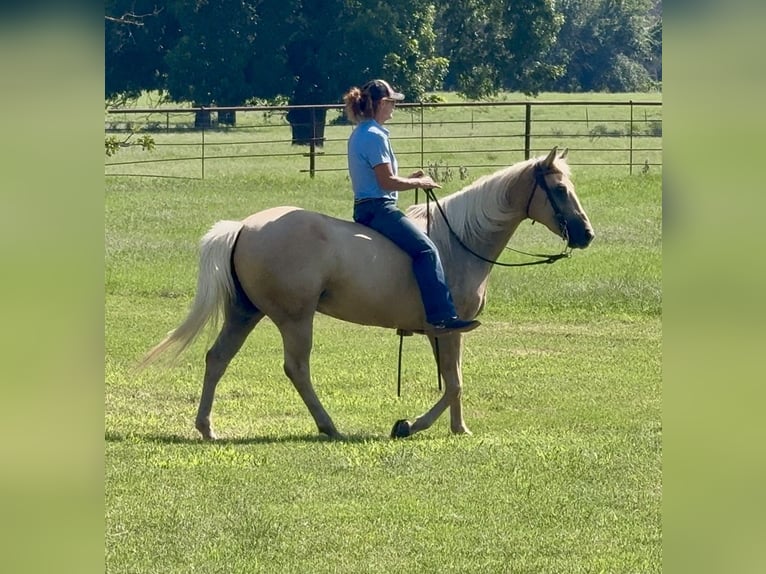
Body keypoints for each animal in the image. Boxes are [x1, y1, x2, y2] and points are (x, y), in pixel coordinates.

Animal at [140, 147, 594, 440]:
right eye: (558, 189)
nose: (586, 234)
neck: (458, 241)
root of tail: (243, 227)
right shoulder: (448, 329)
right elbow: (454, 384)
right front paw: (410, 425)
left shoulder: (446, 333)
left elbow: (453, 380)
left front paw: (458, 428)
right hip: (294, 318)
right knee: (296, 369)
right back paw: (328, 426)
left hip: (245, 312)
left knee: (217, 359)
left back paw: (206, 428)